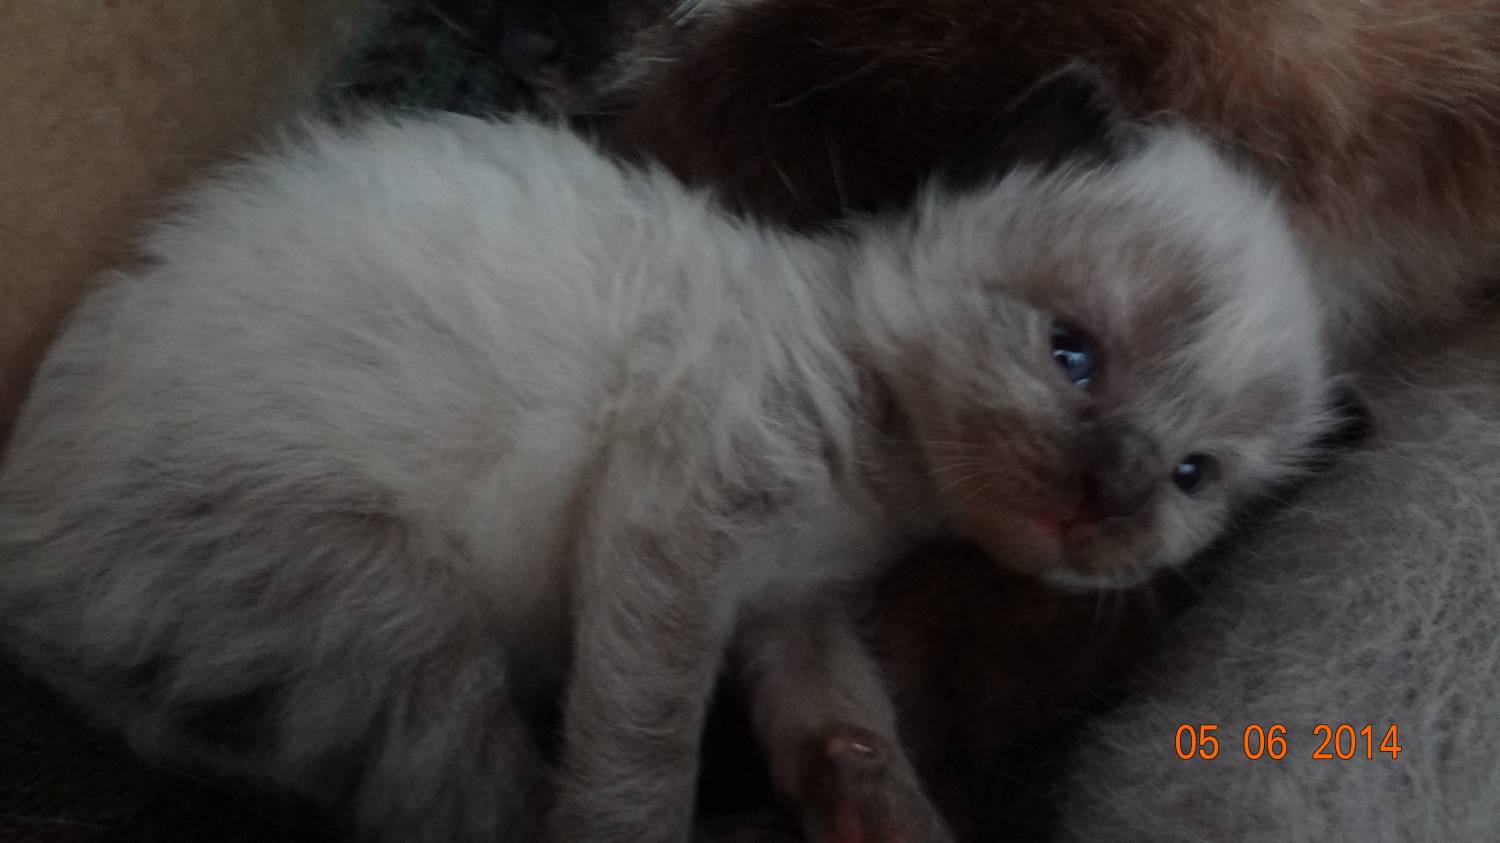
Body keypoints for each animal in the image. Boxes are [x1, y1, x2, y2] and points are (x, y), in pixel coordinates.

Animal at [0, 75, 1338, 842]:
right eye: (1074, 356)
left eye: (1194, 477)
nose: (1103, 503)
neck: (885, 484)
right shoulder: (679, 532)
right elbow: (640, 753)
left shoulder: (795, 609)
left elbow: (843, 719)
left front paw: (879, 813)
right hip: (385, 612)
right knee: (477, 801)